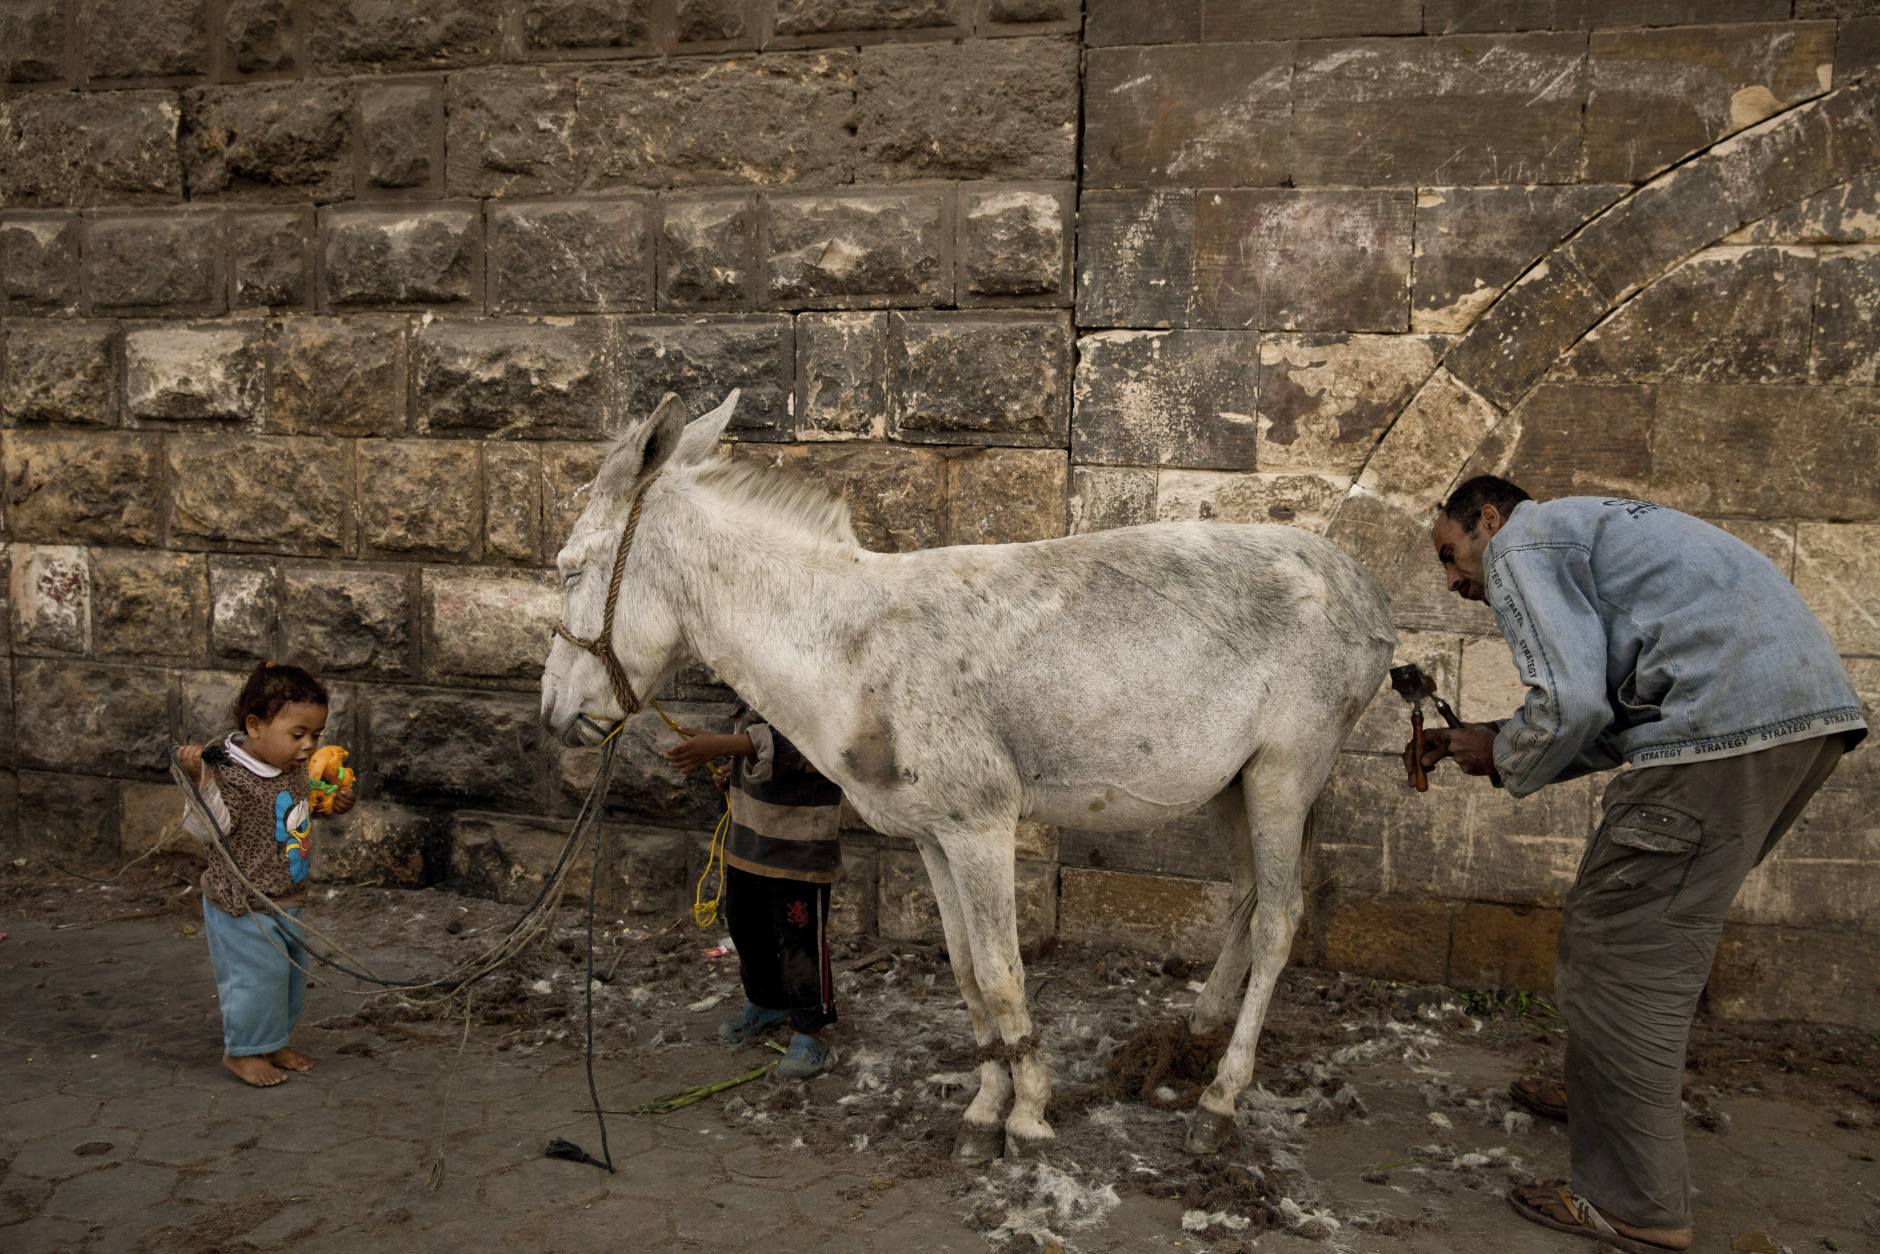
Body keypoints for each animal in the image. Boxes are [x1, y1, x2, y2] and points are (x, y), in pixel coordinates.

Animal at [539, 392, 1396, 1161]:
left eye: (569, 569)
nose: (553, 713)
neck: (851, 648)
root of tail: (1361, 583)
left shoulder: (981, 828)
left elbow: (1003, 974)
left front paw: (1030, 1118)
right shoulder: (932, 838)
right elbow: (964, 973)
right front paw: (985, 1110)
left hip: (1286, 773)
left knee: (1278, 918)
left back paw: (1220, 1100)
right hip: (1231, 783)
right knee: (1247, 899)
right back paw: (1196, 1033)